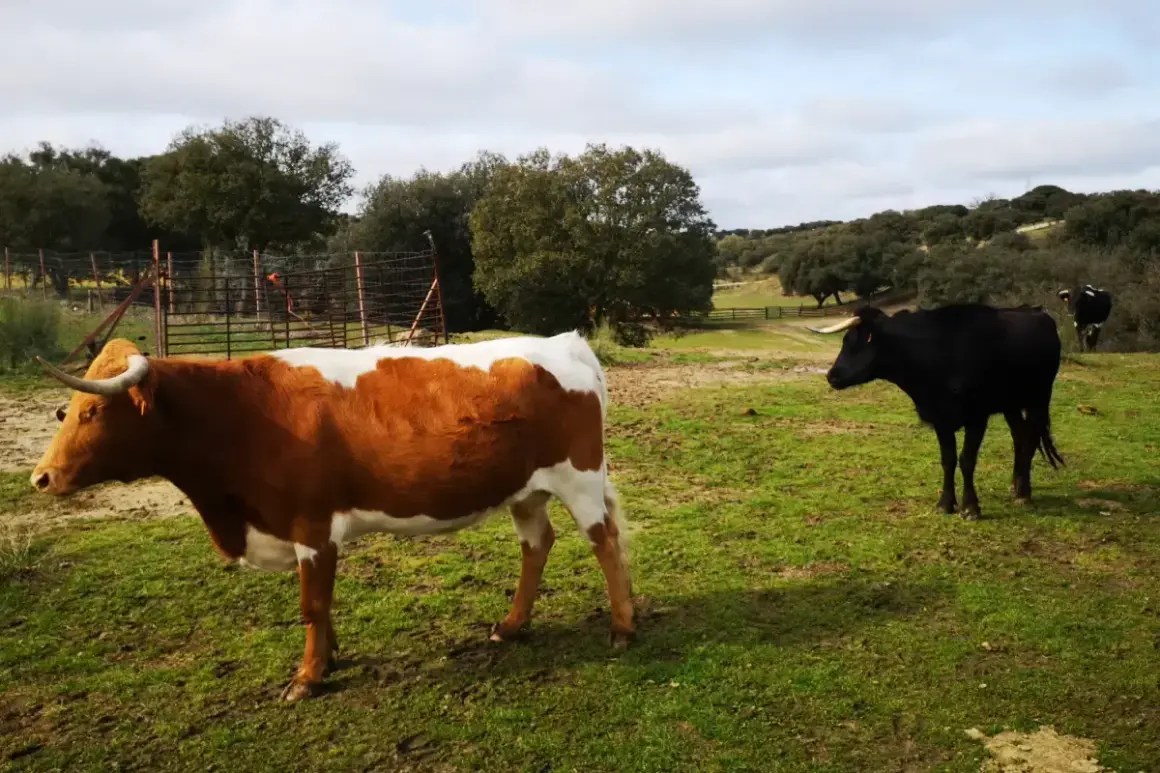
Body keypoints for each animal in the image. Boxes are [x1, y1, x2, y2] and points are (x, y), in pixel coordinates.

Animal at [30, 331, 633, 701]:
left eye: (92, 410)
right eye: (66, 411)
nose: (42, 477)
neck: (240, 417)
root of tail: (563, 343)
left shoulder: (312, 526)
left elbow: (311, 604)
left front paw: (308, 676)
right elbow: (321, 604)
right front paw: (330, 657)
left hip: (579, 478)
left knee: (604, 541)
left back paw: (622, 628)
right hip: (525, 491)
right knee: (538, 544)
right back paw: (511, 625)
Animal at [808, 303, 1065, 519]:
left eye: (853, 342)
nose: (831, 376)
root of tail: (1037, 312)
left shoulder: (977, 417)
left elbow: (966, 460)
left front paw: (971, 508)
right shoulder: (940, 418)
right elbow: (948, 460)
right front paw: (945, 504)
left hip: (1040, 398)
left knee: (1030, 438)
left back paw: (1023, 493)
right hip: (1010, 404)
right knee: (1019, 436)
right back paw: (1015, 484)